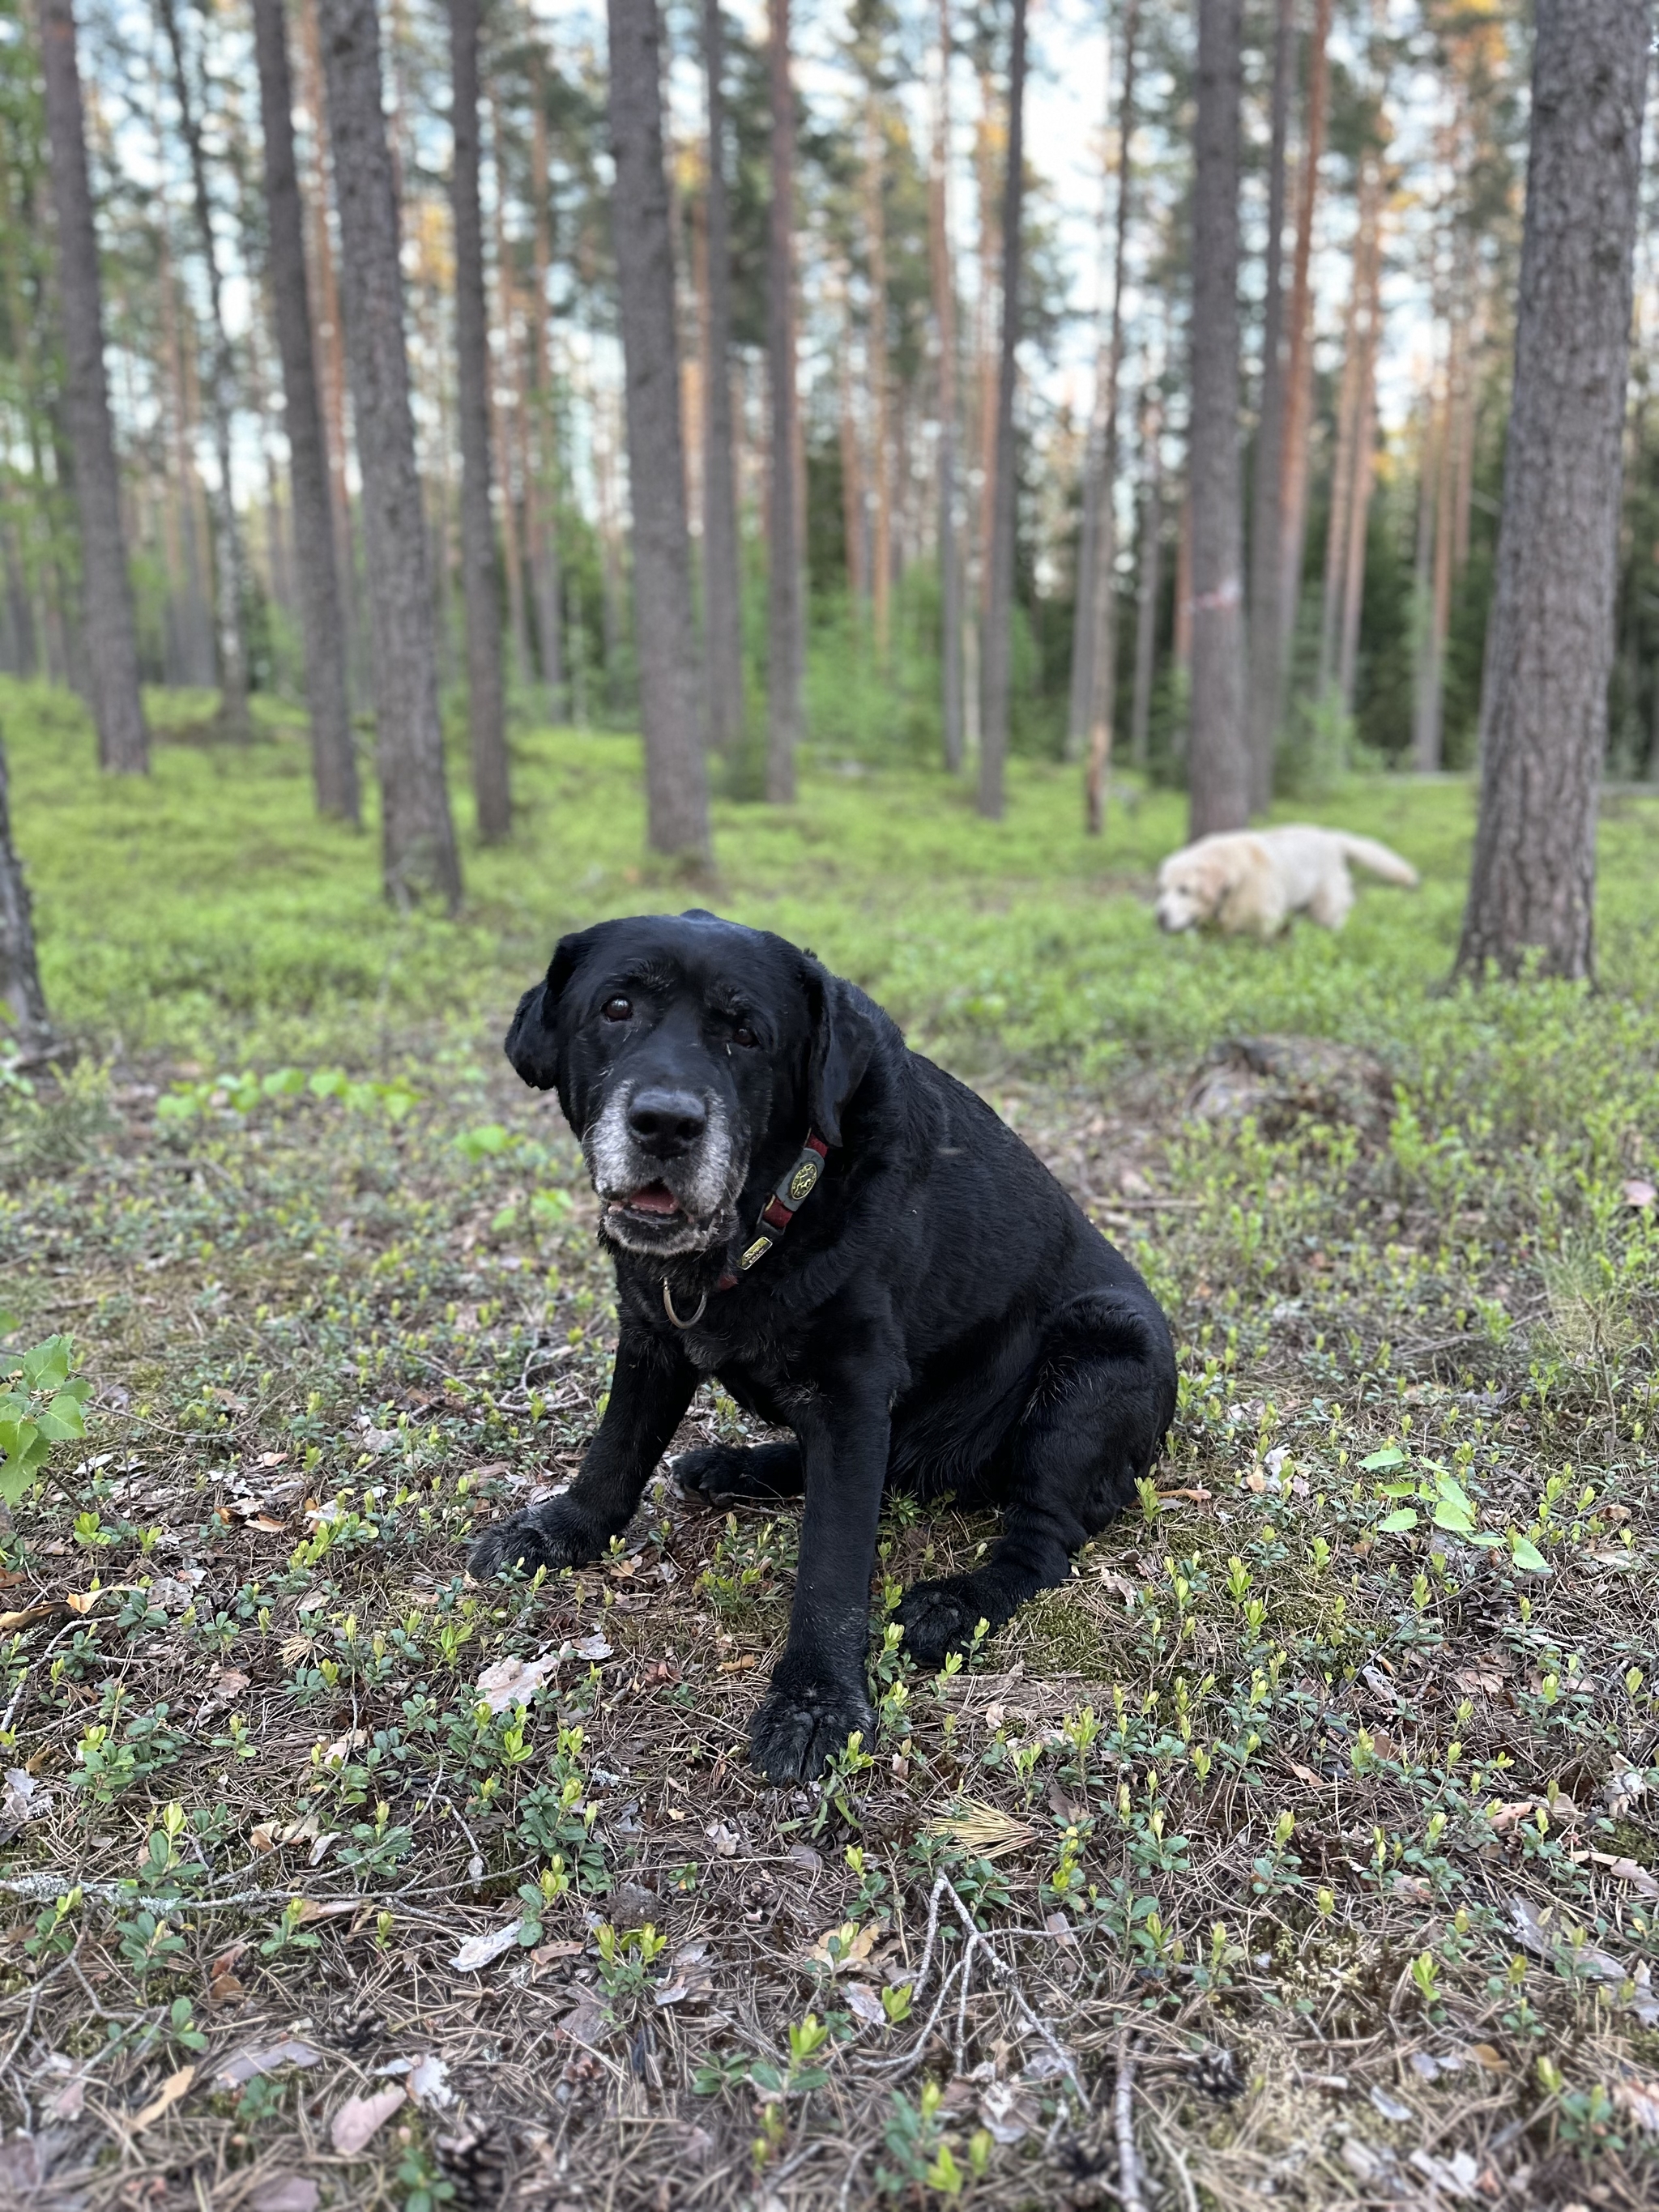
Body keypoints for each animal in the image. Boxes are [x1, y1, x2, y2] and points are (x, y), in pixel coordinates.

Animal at [468, 906, 1185, 1787]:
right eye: (616, 1008)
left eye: (746, 1033)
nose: (666, 1123)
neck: (768, 1217)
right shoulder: (651, 1334)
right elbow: (616, 1449)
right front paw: (564, 1528)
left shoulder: (853, 1389)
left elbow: (832, 1563)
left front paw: (814, 1700)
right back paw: (738, 1465)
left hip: (1097, 1354)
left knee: (1042, 1540)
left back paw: (954, 1603)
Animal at [1158, 827, 1424, 937]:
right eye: (1162, 889)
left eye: (1184, 890)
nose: (1159, 917)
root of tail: (1331, 837)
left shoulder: (1264, 922)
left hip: (1325, 907)